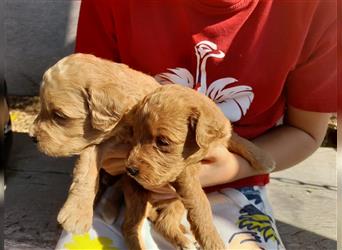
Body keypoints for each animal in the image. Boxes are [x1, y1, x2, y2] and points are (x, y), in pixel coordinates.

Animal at [123, 84, 276, 250]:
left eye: (162, 141)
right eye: (134, 135)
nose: (130, 170)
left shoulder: (224, 134)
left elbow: (240, 140)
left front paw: (265, 160)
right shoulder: (184, 171)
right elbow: (200, 202)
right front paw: (212, 241)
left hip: (176, 202)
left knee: (162, 221)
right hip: (138, 196)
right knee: (132, 226)